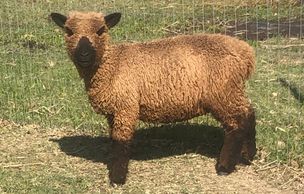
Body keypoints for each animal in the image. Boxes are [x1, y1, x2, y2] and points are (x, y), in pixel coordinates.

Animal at [50, 11, 256, 186]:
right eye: (69, 31)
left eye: (101, 30)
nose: (84, 54)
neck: (112, 64)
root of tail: (246, 53)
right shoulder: (113, 111)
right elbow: (113, 139)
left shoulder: (126, 106)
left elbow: (121, 142)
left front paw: (117, 178)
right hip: (232, 91)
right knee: (248, 114)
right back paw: (248, 156)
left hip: (223, 92)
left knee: (236, 126)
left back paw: (225, 167)